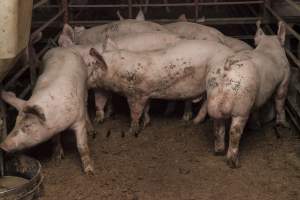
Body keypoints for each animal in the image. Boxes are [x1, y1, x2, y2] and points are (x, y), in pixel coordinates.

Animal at [84, 37, 234, 135]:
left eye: (94, 67)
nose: (86, 80)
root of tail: (230, 52)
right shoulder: (146, 93)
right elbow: (146, 109)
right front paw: (146, 123)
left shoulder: (136, 94)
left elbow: (135, 112)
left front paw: (131, 131)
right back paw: (193, 122)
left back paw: (193, 122)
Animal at [206, 21, 290, 168]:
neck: (268, 46)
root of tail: (227, 69)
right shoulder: (284, 80)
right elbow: (280, 101)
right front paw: (284, 125)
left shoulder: (256, 98)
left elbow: (256, 109)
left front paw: (256, 127)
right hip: (241, 104)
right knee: (234, 131)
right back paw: (234, 163)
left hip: (212, 91)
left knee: (217, 126)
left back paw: (219, 151)